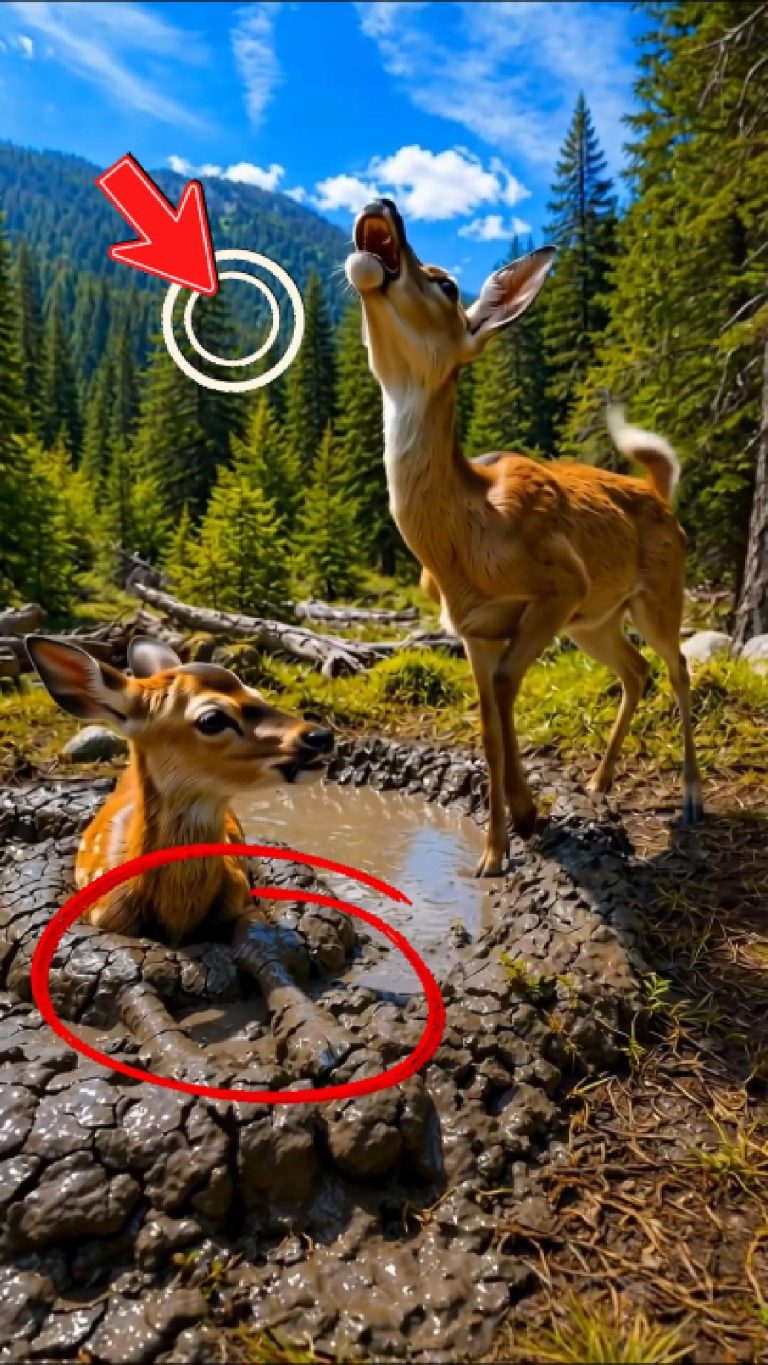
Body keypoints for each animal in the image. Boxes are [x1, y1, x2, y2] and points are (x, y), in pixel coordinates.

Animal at [346, 198, 703, 876]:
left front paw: (520, 820)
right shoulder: (474, 629)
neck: (462, 543)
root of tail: (659, 495)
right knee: (636, 670)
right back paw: (599, 780)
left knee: (677, 667)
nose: (384, 204)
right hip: (596, 621)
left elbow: (508, 686)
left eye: (446, 283)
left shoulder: (561, 583)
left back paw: (693, 799)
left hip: (656, 596)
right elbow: (487, 723)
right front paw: (500, 842)